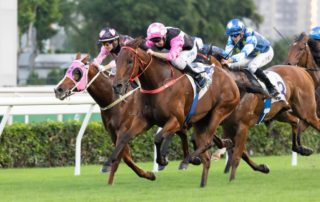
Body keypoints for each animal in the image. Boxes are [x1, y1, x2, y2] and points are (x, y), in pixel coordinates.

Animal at [110, 37, 240, 186]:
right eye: (116, 61)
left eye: (130, 61)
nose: (117, 86)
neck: (160, 81)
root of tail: (229, 78)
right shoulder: (144, 121)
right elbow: (125, 137)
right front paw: (111, 159)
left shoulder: (176, 120)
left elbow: (158, 138)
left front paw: (162, 160)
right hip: (202, 120)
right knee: (208, 140)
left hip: (219, 111)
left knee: (206, 141)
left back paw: (191, 158)